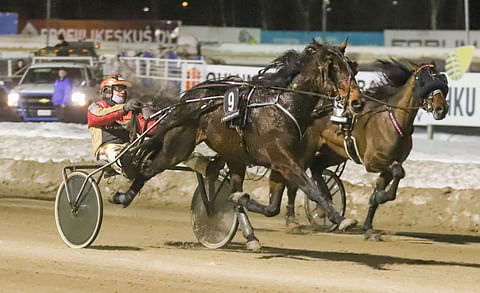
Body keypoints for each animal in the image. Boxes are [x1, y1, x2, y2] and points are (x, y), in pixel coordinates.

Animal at [118, 39, 362, 249]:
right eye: (333, 68)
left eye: (352, 68)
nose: (356, 102)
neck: (285, 105)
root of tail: (190, 96)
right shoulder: (284, 161)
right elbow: (312, 190)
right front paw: (341, 219)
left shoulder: (281, 165)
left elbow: (272, 207)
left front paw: (241, 199)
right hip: (177, 147)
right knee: (148, 169)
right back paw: (123, 196)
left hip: (234, 157)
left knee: (223, 178)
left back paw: (249, 233)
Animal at [282, 60, 450, 237]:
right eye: (423, 81)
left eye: (442, 80)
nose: (441, 108)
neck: (392, 120)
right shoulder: (372, 161)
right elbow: (398, 172)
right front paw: (381, 196)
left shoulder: (390, 164)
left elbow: (392, 179)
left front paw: (369, 223)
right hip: (307, 149)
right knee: (295, 179)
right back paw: (292, 219)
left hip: (334, 152)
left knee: (316, 167)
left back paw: (325, 198)